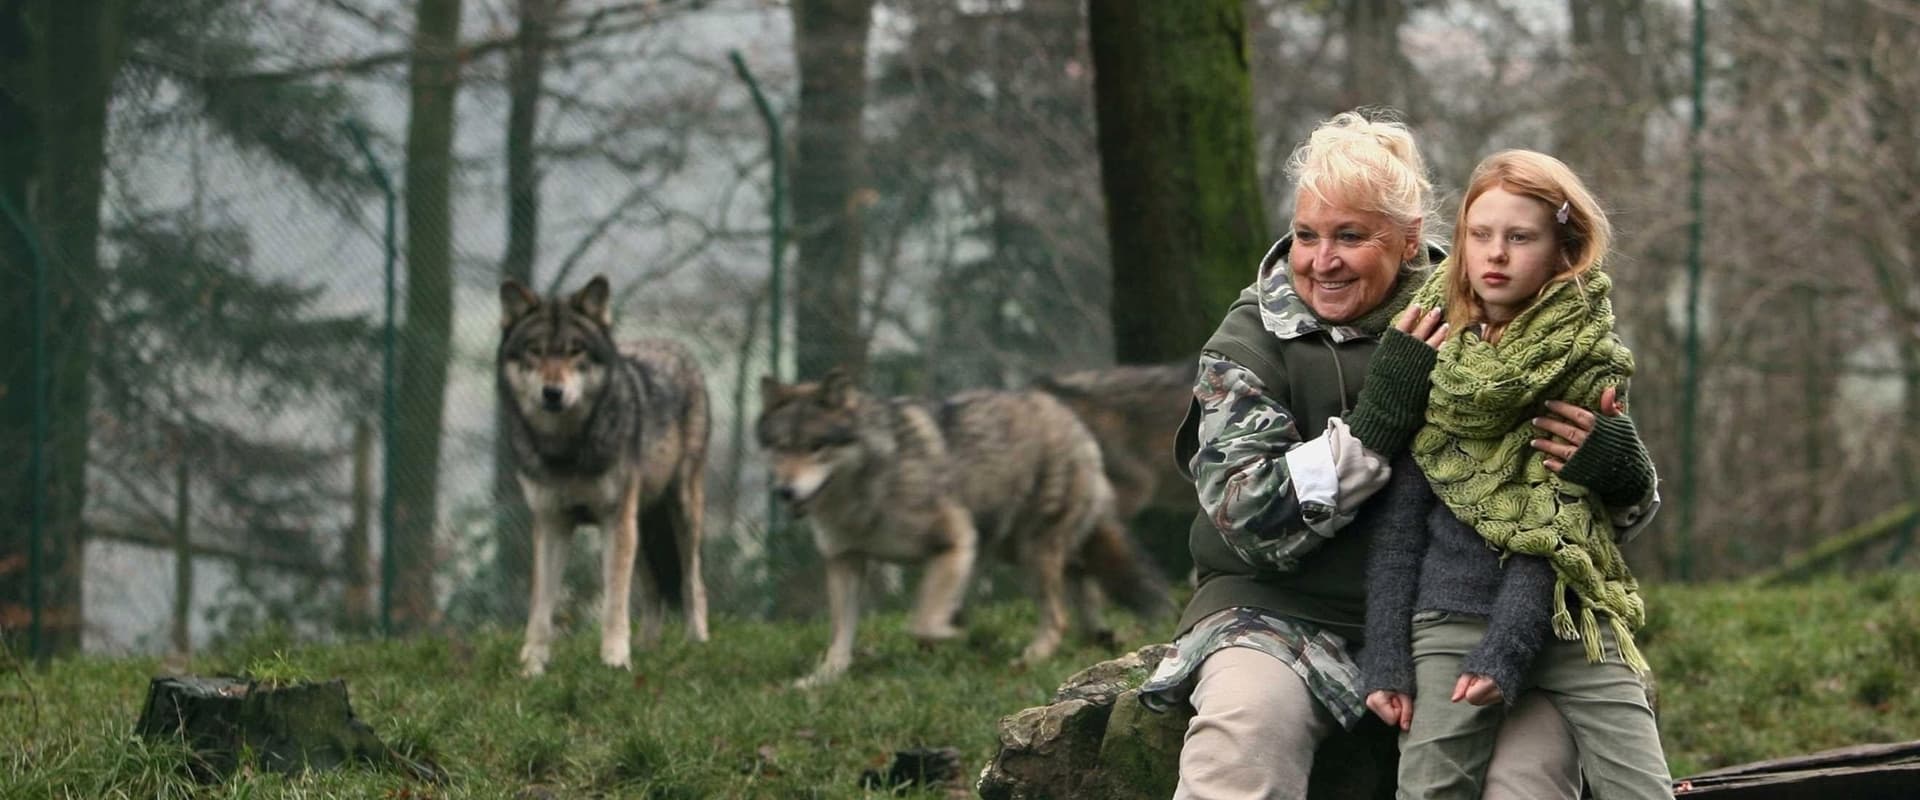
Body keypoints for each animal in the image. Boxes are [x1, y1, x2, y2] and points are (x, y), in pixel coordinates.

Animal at [499, 275, 711, 677]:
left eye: (574, 351)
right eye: (535, 350)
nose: (552, 393)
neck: (566, 448)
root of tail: (674, 345)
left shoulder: (615, 521)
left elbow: (614, 601)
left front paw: (614, 660)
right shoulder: (551, 523)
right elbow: (540, 607)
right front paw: (532, 666)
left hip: (680, 512)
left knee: (692, 581)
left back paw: (696, 643)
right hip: (642, 527)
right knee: (653, 591)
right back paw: (647, 647)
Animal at [756, 370, 1171, 688]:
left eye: (816, 446)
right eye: (780, 447)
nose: (784, 491)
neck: (872, 483)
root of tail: (1070, 417)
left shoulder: (955, 541)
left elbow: (922, 622)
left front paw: (954, 633)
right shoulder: (845, 560)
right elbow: (841, 635)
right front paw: (823, 678)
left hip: (1032, 552)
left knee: (1058, 615)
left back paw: (1031, 658)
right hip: (1019, 549)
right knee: (1085, 585)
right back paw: (1098, 637)